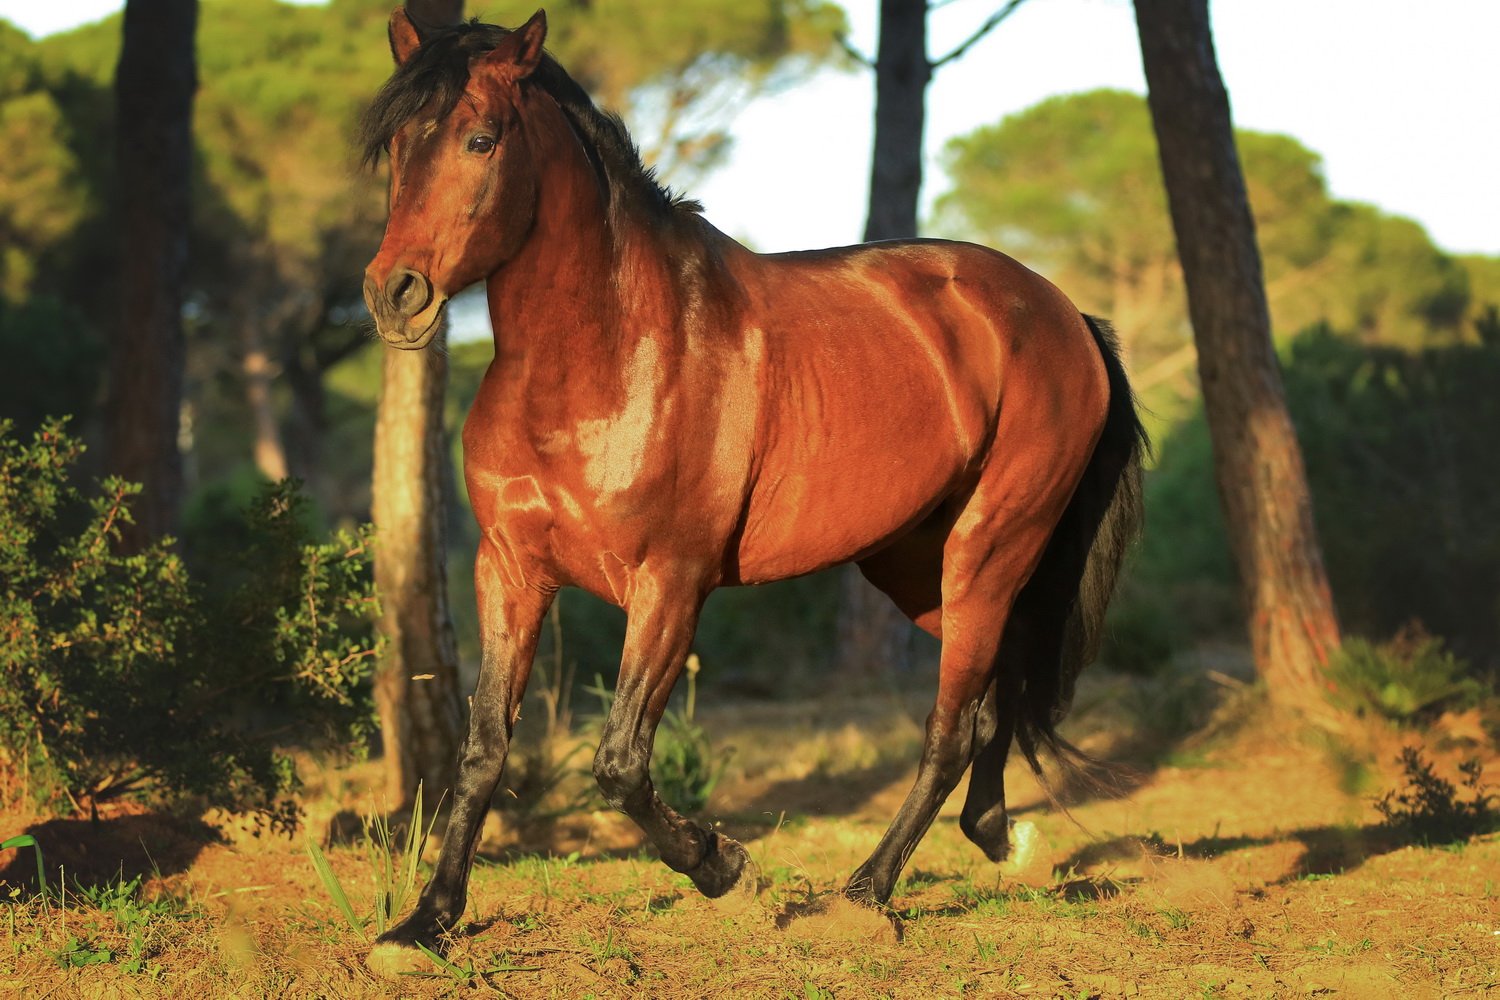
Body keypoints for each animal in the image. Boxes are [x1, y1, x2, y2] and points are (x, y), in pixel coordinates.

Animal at [359, 6, 1145, 972]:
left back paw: (858, 898)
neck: (605, 359)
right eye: (397, 144)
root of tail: (1067, 315)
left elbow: (620, 763)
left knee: (953, 724)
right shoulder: (508, 570)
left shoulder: (671, 583)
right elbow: (481, 748)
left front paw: (727, 869)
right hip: (921, 568)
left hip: (991, 548)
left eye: (480, 138)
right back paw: (1003, 841)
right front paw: (424, 924)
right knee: (996, 696)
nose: (394, 294)